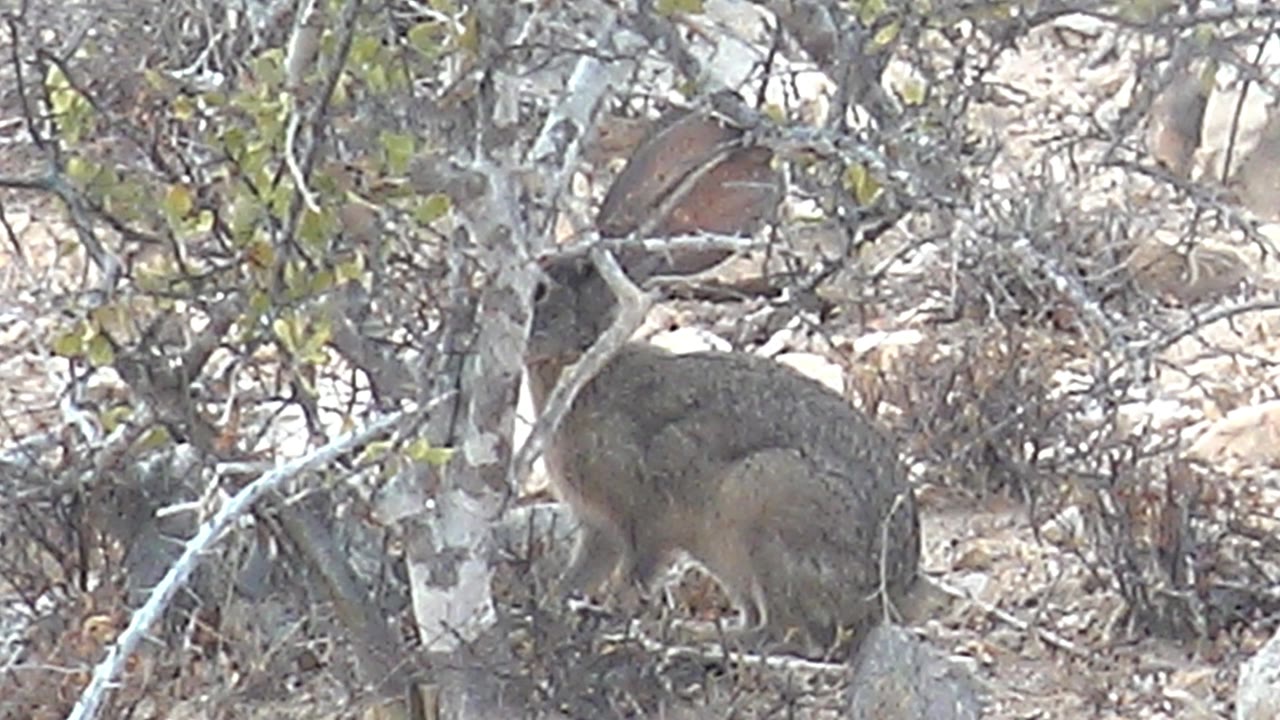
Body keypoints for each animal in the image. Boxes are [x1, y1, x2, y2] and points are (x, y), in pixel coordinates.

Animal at [524, 251, 921, 658]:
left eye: (539, 291)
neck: (581, 365)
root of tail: (884, 596)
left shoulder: (644, 517)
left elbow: (634, 575)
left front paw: (615, 617)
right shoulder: (599, 528)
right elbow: (581, 575)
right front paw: (552, 608)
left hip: (767, 505)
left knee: (784, 634)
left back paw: (695, 637)